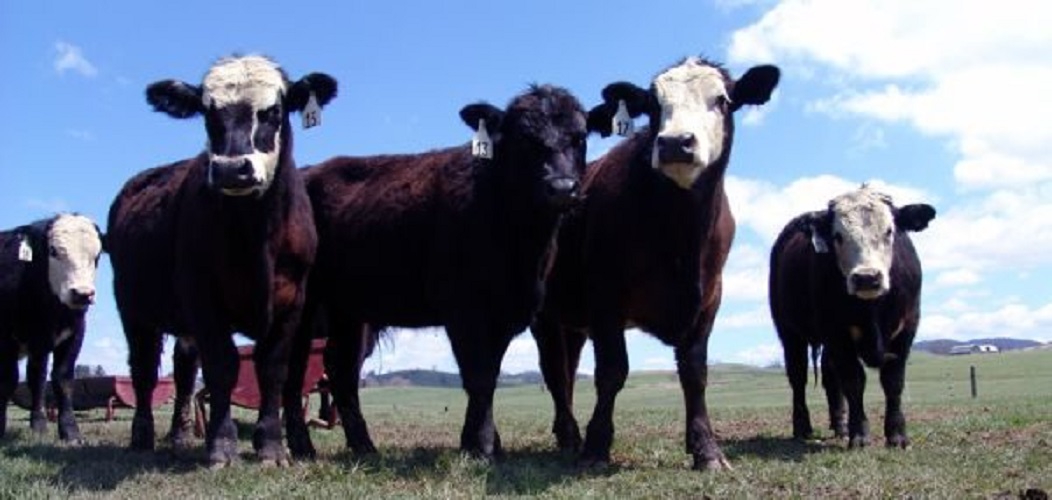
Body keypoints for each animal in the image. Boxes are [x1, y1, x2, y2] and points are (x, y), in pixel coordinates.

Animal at [1, 213, 103, 443]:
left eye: (97, 255)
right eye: (54, 251)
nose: (83, 294)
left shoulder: (74, 334)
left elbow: (60, 379)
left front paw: (69, 432)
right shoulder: (9, 339)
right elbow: (14, 380)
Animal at [106, 55, 337, 466]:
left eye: (273, 111)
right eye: (206, 112)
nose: (231, 168)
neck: (257, 233)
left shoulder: (294, 300)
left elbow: (272, 369)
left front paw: (271, 445)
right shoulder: (202, 295)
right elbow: (222, 366)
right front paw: (222, 445)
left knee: (183, 370)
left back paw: (179, 435)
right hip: (133, 309)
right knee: (144, 371)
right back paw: (143, 435)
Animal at [282, 84, 588, 460]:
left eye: (580, 137)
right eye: (523, 139)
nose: (562, 187)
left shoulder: (505, 312)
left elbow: (490, 374)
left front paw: (479, 441)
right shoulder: (462, 306)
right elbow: (479, 377)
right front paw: (483, 446)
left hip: (348, 307)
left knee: (341, 368)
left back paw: (364, 446)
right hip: (305, 300)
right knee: (295, 366)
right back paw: (302, 446)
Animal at [530, 57, 780, 470]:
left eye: (722, 100)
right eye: (651, 105)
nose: (675, 142)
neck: (681, 232)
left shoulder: (709, 300)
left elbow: (694, 373)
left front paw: (706, 449)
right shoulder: (605, 298)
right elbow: (612, 371)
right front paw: (597, 447)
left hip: (573, 322)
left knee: (566, 371)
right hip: (546, 316)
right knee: (554, 372)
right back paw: (570, 435)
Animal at [769, 185, 935, 449]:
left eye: (889, 231)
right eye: (838, 236)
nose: (867, 277)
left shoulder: (906, 329)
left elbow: (893, 381)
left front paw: (897, 436)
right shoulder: (837, 333)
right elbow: (854, 381)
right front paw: (860, 435)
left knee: (829, 377)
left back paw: (840, 426)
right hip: (789, 332)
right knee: (798, 377)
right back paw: (802, 428)